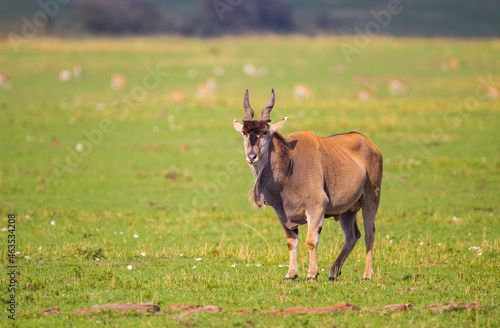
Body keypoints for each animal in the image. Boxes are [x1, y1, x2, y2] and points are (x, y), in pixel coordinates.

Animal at [234, 89, 382, 282]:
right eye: (244, 133)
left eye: (265, 132)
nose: (251, 156)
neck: (289, 165)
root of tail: (371, 145)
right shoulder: (283, 215)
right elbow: (292, 242)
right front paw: (291, 273)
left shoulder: (316, 207)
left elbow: (311, 241)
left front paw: (312, 274)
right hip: (347, 210)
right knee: (352, 235)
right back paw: (334, 271)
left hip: (371, 198)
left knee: (368, 233)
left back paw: (367, 274)